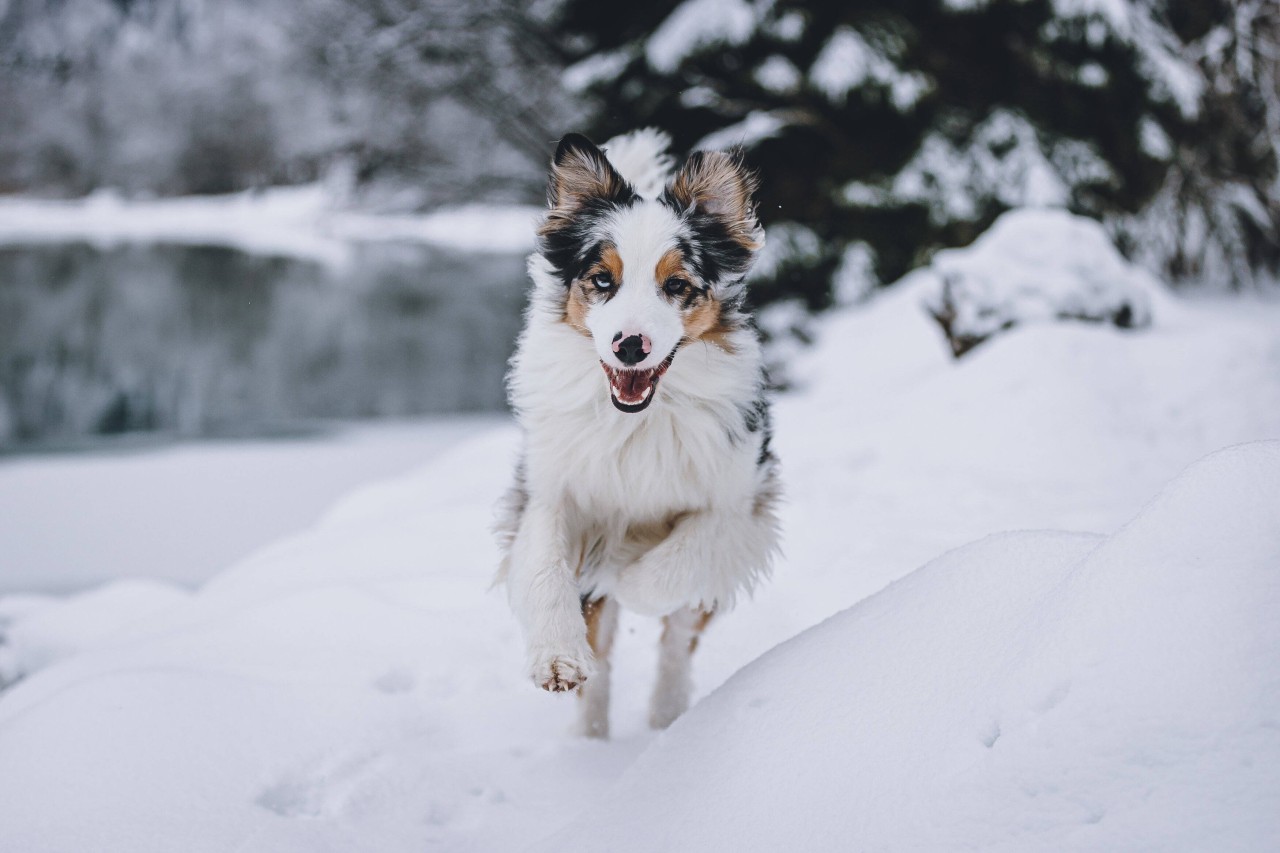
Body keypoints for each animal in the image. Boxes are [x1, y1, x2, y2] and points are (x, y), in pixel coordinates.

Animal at [496, 129, 778, 732]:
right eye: (602, 280)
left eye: (677, 284)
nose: (629, 345)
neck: (638, 420)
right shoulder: (549, 489)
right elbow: (545, 566)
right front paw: (557, 657)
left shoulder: (738, 502)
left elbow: (675, 564)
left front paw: (629, 577)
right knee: (602, 659)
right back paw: (589, 737)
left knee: (678, 640)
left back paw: (666, 715)